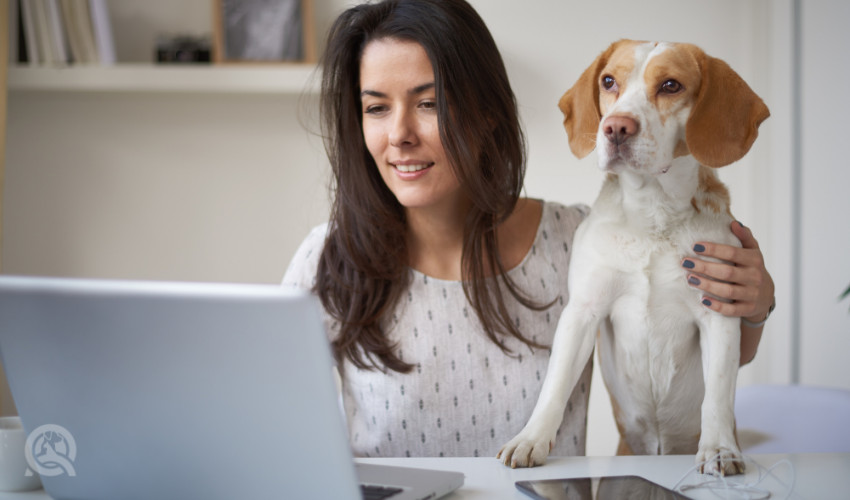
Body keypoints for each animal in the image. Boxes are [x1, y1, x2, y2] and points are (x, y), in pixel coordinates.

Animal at [496, 41, 768, 474]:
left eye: (671, 85)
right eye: (609, 81)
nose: (616, 127)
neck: (652, 214)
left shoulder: (719, 313)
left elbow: (718, 397)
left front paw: (720, 449)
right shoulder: (583, 311)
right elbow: (555, 386)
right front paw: (531, 439)